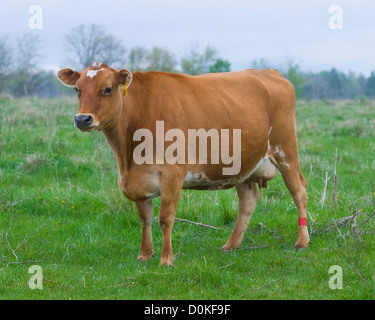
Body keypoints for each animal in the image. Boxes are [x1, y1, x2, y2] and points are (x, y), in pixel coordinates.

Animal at [58, 61, 308, 266]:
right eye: (77, 89)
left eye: (108, 89)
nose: (82, 119)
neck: (128, 155)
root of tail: (270, 72)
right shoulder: (138, 181)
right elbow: (145, 220)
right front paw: (144, 255)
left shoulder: (173, 174)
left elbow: (165, 218)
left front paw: (166, 258)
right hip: (243, 165)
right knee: (249, 200)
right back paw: (231, 245)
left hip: (286, 150)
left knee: (299, 192)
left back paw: (302, 242)